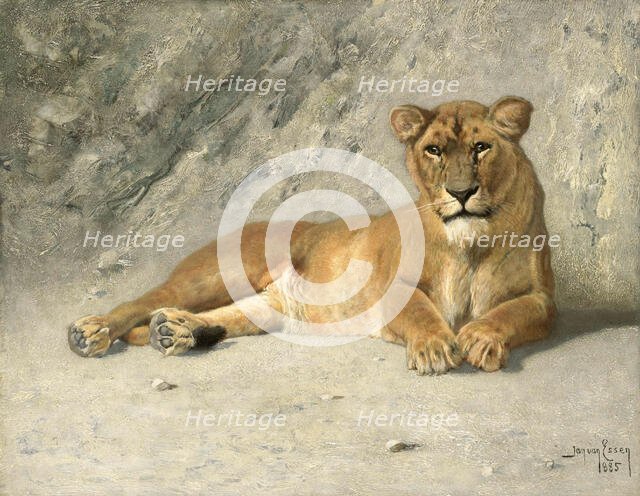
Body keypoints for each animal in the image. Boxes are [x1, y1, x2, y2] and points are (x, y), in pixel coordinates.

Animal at [68, 96, 556, 374]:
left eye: (481, 148)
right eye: (434, 150)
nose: (460, 192)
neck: (472, 241)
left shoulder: (543, 299)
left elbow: (512, 312)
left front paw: (482, 337)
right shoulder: (391, 286)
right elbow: (420, 310)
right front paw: (436, 347)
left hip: (272, 307)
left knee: (224, 316)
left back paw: (176, 332)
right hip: (211, 277)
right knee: (144, 302)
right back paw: (91, 332)